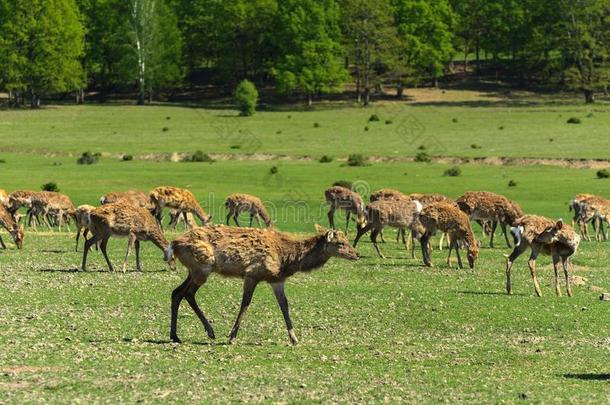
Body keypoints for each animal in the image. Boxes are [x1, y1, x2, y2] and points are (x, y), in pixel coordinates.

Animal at [164, 224, 358, 344]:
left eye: (347, 240)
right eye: (340, 243)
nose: (357, 254)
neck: (287, 259)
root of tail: (173, 244)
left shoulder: (277, 280)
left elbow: (284, 305)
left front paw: (294, 338)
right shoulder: (252, 273)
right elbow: (245, 303)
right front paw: (232, 336)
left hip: (194, 270)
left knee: (177, 292)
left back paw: (176, 335)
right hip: (203, 267)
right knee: (187, 293)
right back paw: (208, 331)